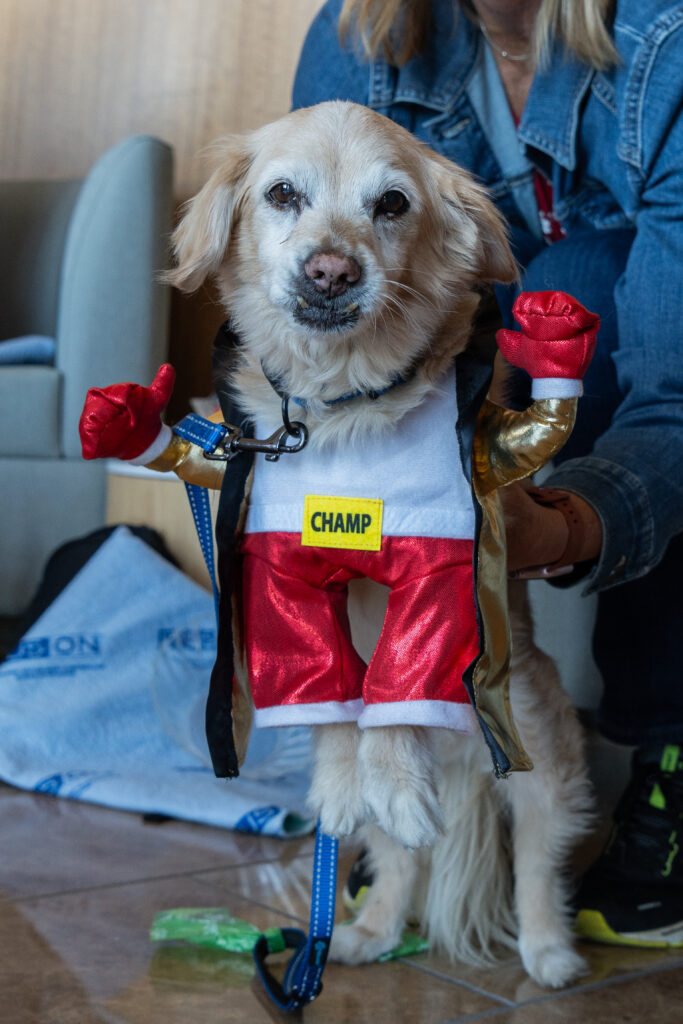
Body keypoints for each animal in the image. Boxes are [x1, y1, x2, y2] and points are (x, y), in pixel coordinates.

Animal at [167, 99, 593, 987]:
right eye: (282, 194)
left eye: (391, 204)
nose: (330, 271)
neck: (341, 411)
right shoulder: (281, 580)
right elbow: (335, 702)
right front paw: (345, 785)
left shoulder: (438, 567)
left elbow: (396, 688)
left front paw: (392, 777)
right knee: (399, 864)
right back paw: (365, 931)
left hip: (537, 760)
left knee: (535, 870)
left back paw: (547, 955)